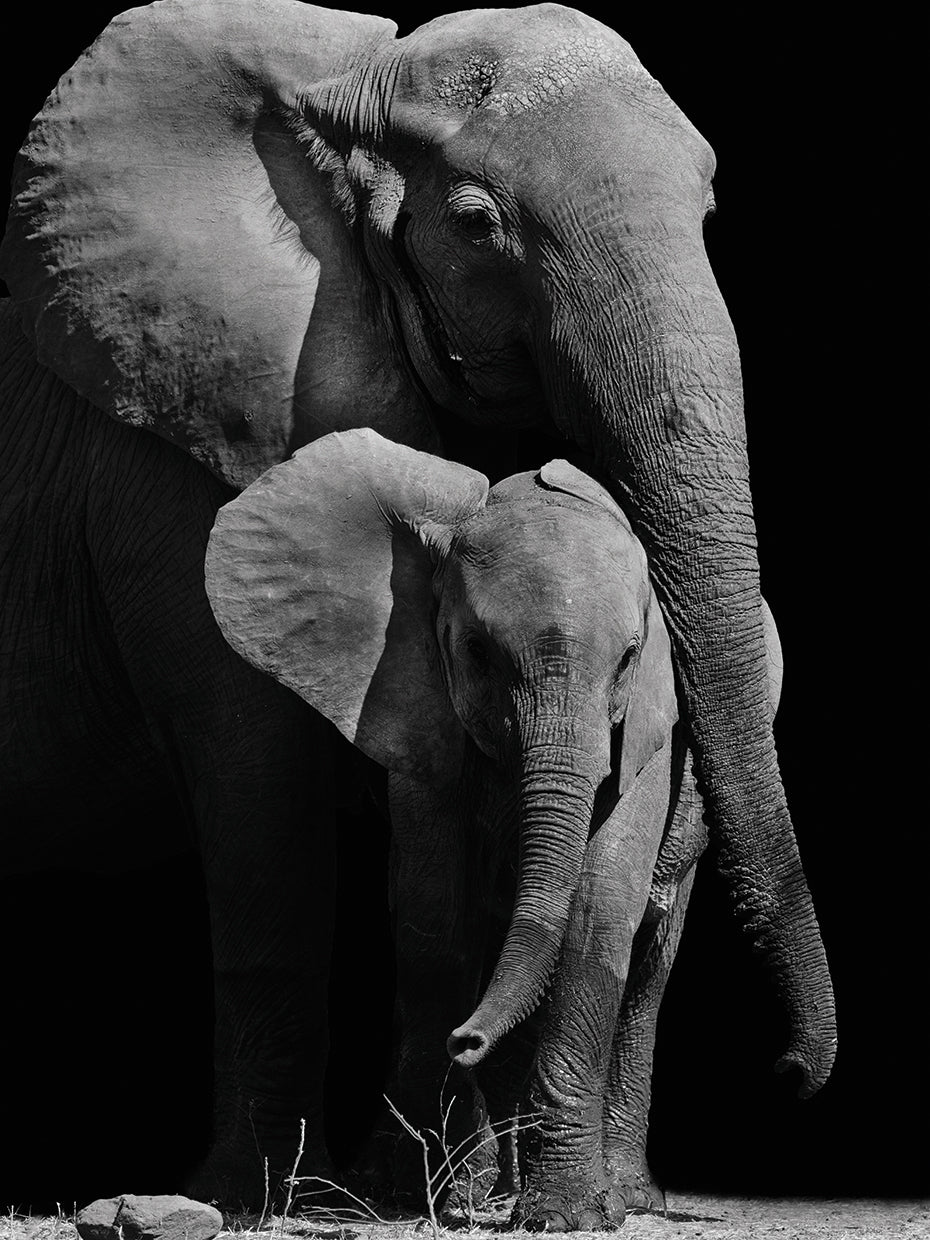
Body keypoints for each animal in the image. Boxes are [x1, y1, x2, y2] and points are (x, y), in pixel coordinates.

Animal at [204, 426, 783, 1230]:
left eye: (631, 659)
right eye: (477, 653)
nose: (465, 1039)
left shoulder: (654, 729)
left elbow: (599, 910)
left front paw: (569, 1215)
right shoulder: (416, 710)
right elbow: (436, 916)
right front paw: (441, 1193)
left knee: (650, 961)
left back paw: (622, 1192)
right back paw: (477, 1180)